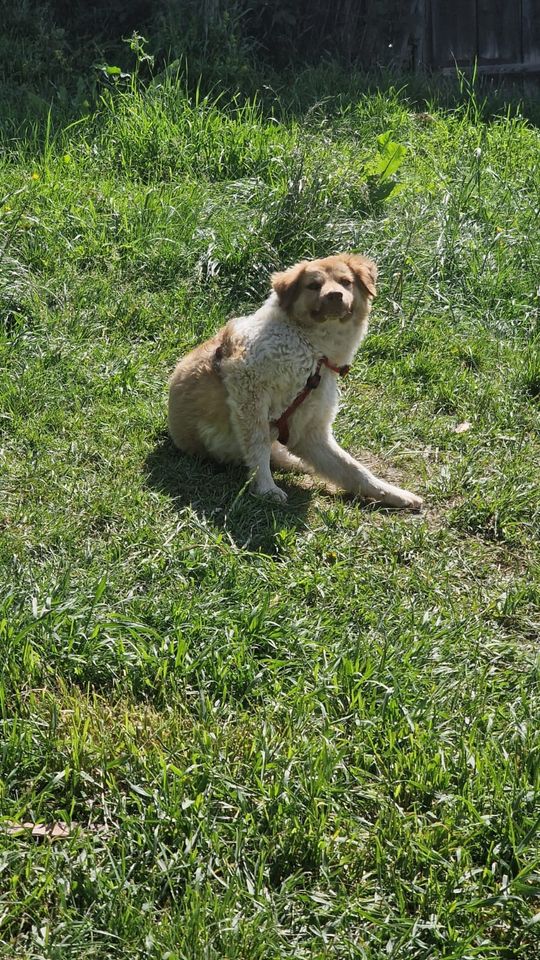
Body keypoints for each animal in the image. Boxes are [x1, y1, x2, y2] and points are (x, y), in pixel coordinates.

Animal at [168, 253, 422, 510]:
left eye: (346, 282)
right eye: (313, 285)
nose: (335, 295)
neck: (312, 348)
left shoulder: (310, 429)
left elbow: (354, 469)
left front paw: (393, 494)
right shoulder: (248, 390)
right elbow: (258, 446)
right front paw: (266, 488)